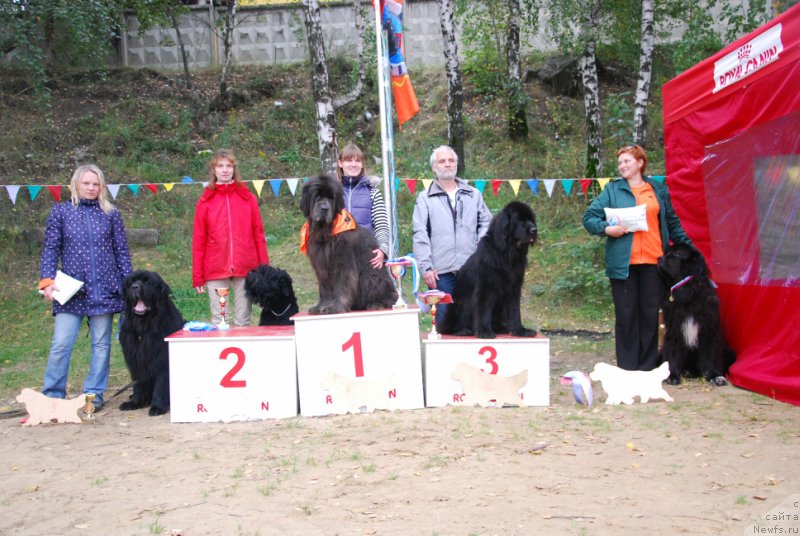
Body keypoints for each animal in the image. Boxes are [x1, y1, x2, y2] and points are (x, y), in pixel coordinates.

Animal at [118, 270, 184, 416]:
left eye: (147, 282)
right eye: (131, 282)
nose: (135, 287)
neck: (144, 327)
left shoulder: (162, 361)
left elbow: (160, 386)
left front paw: (157, 407)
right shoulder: (135, 361)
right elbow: (137, 385)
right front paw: (135, 403)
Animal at [298, 174, 396, 314]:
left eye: (331, 198)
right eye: (317, 196)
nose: (324, 208)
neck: (325, 232)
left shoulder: (343, 263)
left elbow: (342, 286)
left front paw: (335, 307)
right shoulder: (321, 265)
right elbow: (324, 288)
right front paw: (320, 306)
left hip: (370, 278)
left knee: (389, 298)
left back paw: (375, 304)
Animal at [440, 201, 540, 340]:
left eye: (531, 219)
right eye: (520, 221)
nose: (534, 230)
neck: (507, 254)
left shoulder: (514, 288)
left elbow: (515, 310)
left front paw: (520, 330)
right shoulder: (485, 288)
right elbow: (484, 310)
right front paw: (484, 331)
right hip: (459, 305)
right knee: (445, 327)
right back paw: (462, 330)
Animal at [656, 243, 736, 386]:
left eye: (676, 254)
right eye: (666, 252)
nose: (659, 258)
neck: (688, 293)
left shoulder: (708, 329)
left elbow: (709, 355)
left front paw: (715, 376)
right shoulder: (674, 329)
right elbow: (673, 353)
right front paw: (672, 376)